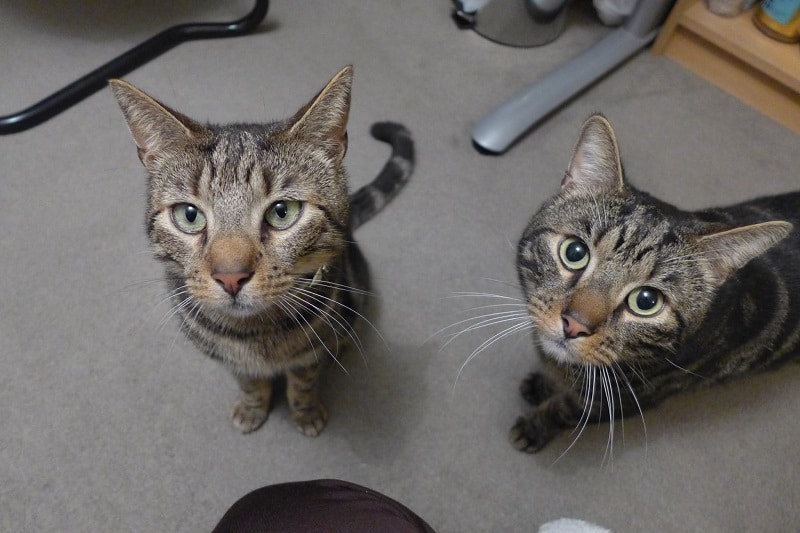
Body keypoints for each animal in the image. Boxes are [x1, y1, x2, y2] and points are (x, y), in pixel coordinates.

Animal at [110, 64, 416, 434]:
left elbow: (304, 380)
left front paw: (306, 411)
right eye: (189, 215)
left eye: (282, 212)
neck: (255, 334)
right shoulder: (231, 359)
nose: (231, 277)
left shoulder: (310, 352)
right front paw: (252, 406)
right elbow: (248, 381)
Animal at [510, 114, 796, 450]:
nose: (574, 325)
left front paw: (535, 427)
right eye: (575, 252)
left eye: (646, 301)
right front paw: (542, 383)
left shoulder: (621, 401)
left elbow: (564, 410)